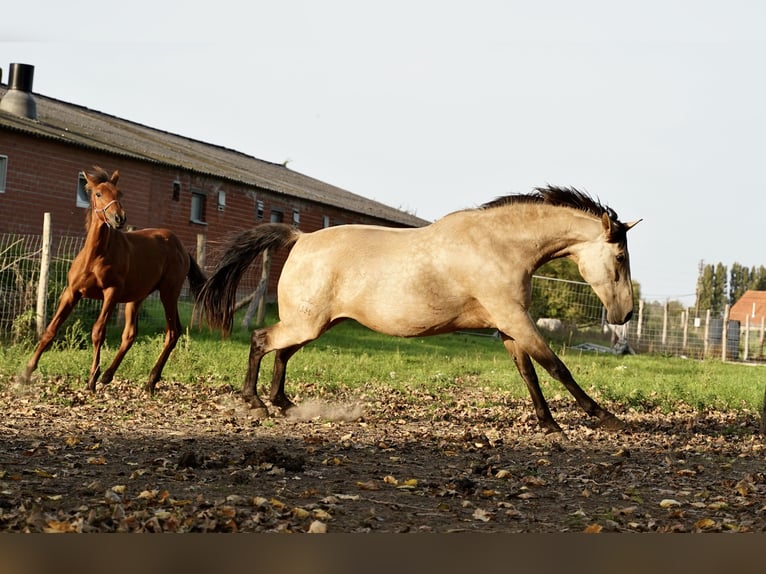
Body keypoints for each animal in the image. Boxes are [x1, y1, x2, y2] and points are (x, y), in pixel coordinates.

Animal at [23, 166, 207, 396]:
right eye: (98, 194)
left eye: (119, 194)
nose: (119, 218)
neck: (96, 255)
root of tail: (181, 247)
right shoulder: (72, 292)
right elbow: (50, 330)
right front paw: (26, 373)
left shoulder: (111, 293)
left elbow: (98, 332)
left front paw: (91, 380)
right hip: (136, 298)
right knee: (130, 334)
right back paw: (108, 375)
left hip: (168, 293)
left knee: (173, 332)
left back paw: (150, 381)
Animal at [198, 187, 640, 434]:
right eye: (620, 257)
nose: (626, 314)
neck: (498, 246)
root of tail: (300, 237)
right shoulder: (515, 320)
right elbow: (556, 367)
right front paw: (604, 418)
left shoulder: (508, 326)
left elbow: (529, 373)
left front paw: (548, 425)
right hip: (305, 323)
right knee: (262, 340)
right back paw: (255, 402)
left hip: (314, 324)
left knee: (282, 353)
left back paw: (284, 404)